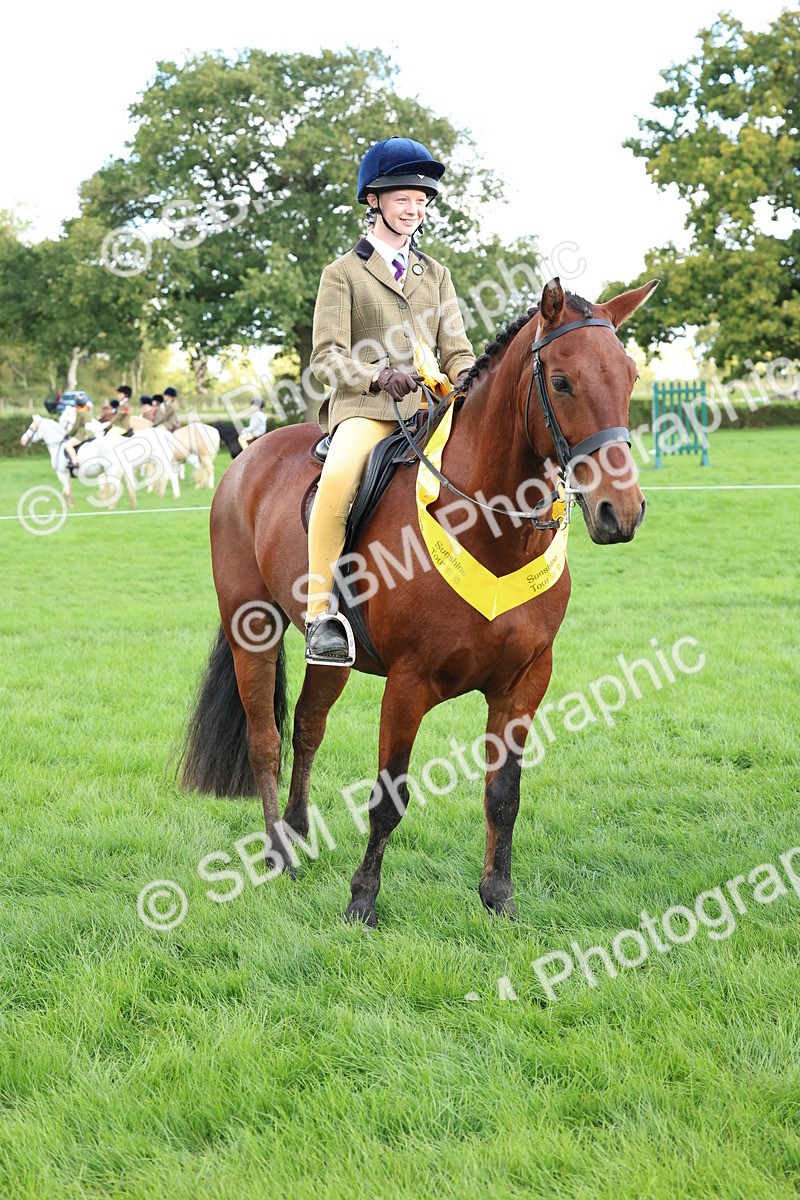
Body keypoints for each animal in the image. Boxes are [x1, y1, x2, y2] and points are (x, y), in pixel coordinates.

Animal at [180, 276, 658, 927]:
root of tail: (247, 457)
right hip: (250, 632)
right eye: (562, 382)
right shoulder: (409, 685)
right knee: (266, 741)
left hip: (332, 654)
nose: (621, 512)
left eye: (630, 376)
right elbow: (389, 796)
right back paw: (280, 851)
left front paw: (498, 896)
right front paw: (362, 901)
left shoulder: (525, 683)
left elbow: (503, 794)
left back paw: (301, 832)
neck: (490, 528)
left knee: (308, 726)